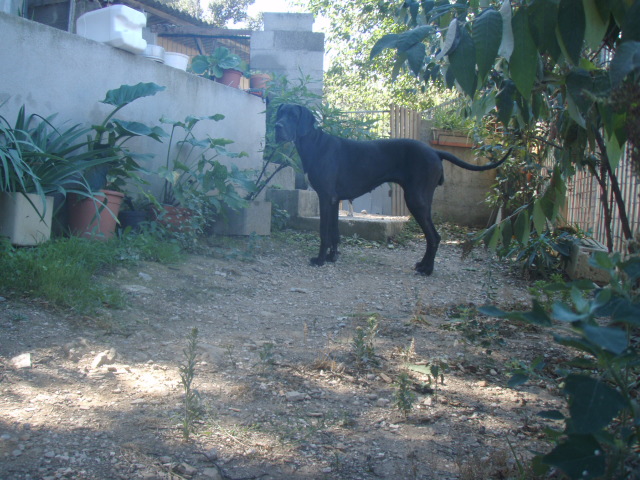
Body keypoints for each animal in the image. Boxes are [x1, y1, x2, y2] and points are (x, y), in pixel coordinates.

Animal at [276, 104, 510, 278]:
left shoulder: (325, 198)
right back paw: (423, 265)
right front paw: (332, 257)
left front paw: (320, 260)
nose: (277, 125)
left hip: (415, 200)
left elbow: (324, 232)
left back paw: (427, 269)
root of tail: (435, 151)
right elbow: (334, 233)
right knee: (432, 237)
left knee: (434, 236)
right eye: (280, 113)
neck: (315, 144)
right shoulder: (334, 200)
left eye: (293, 116)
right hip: (421, 200)